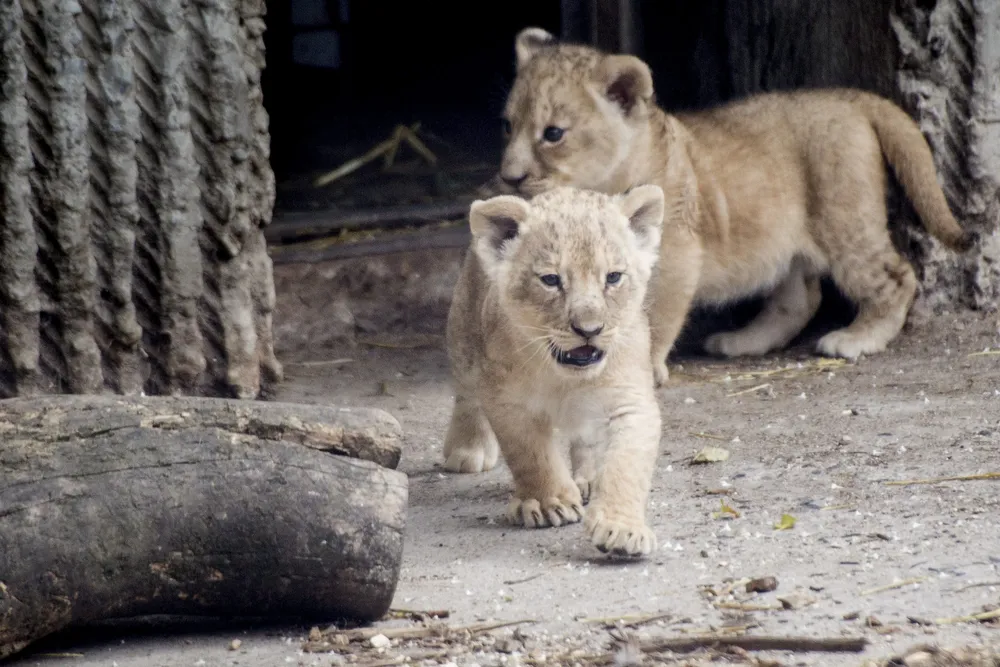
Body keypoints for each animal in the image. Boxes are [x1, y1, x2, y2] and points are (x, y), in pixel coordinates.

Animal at [443, 184, 667, 557]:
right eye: (550, 280)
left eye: (613, 277)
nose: (590, 329)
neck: (564, 377)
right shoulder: (506, 400)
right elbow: (530, 454)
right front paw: (549, 503)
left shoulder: (629, 398)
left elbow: (626, 465)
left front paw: (621, 527)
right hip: (462, 332)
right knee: (465, 394)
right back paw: (467, 448)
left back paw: (588, 478)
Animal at [494, 27, 973, 390]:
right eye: (508, 125)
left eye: (553, 133)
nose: (509, 176)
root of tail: (851, 96)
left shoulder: (675, 257)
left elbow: (655, 318)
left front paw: (643, 369)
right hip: (785, 241)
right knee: (800, 299)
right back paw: (742, 342)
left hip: (846, 221)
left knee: (896, 277)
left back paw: (857, 338)